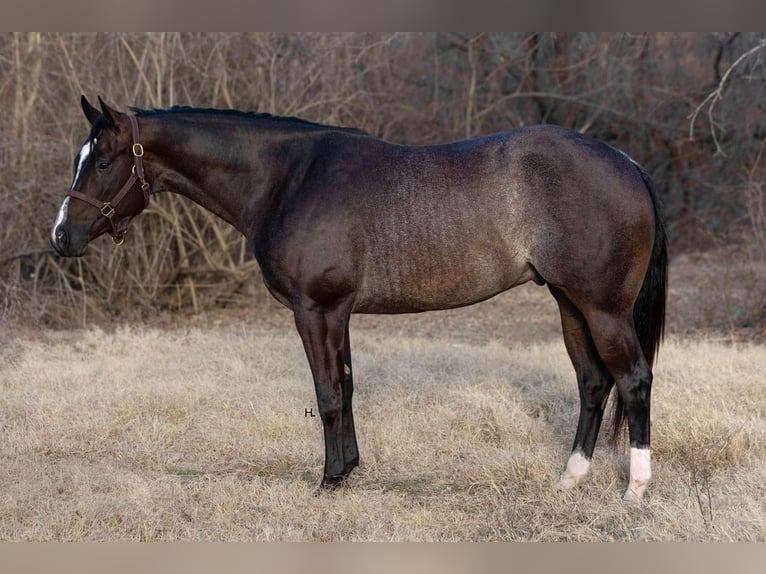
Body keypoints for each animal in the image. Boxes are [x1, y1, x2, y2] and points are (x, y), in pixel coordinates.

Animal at [51, 98, 668, 504]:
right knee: (593, 381)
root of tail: (628, 163)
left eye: (102, 161)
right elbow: (345, 389)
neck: (288, 179)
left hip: (603, 308)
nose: (61, 236)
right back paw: (570, 478)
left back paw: (635, 489)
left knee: (633, 378)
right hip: (569, 303)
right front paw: (348, 470)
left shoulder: (314, 310)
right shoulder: (338, 312)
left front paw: (327, 481)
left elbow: (326, 394)